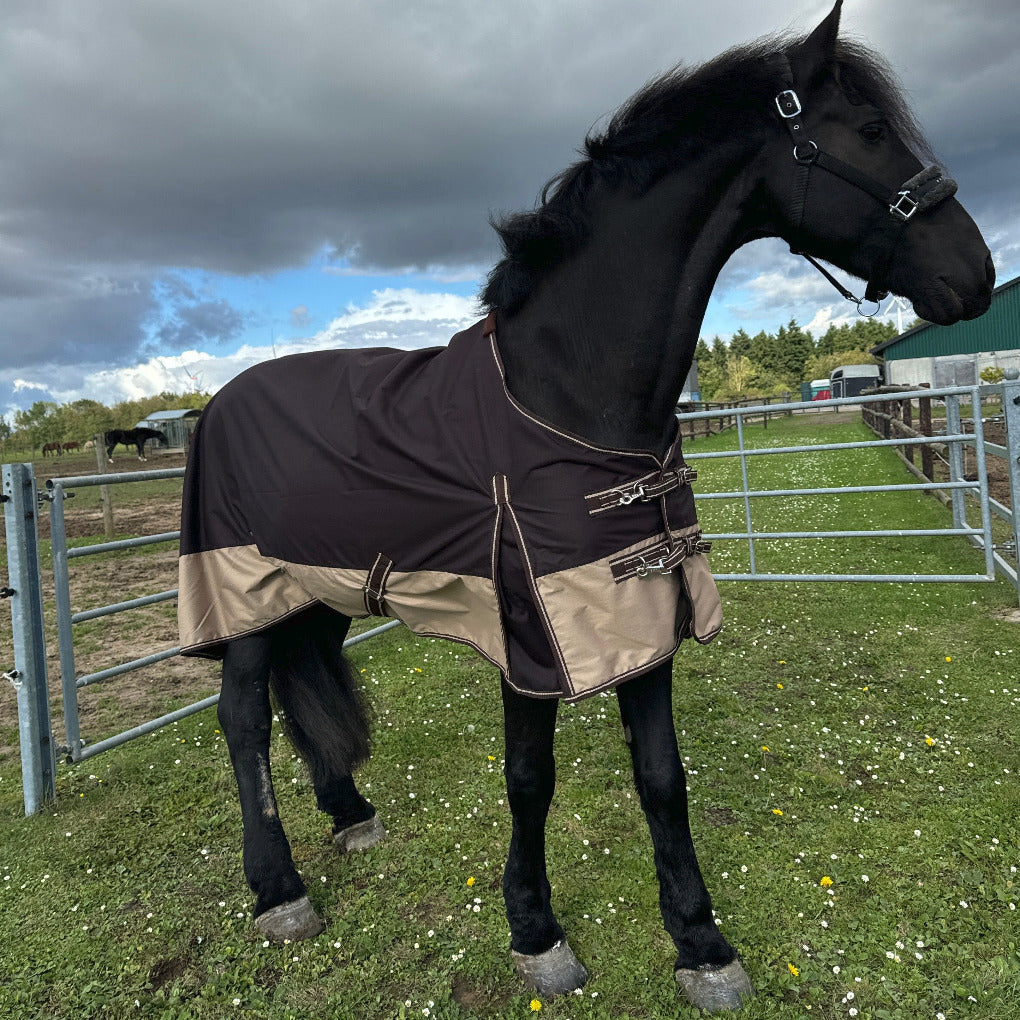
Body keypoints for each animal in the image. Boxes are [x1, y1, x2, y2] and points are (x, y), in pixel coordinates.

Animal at [177, 4, 992, 1011]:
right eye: (872, 131)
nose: (978, 272)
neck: (572, 392)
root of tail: (219, 401)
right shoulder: (535, 632)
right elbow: (530, 778)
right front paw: (537, 933)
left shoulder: (640, 603)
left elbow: (662, 775)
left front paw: (701, 944)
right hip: (244, 595)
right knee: (243, 718)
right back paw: (280, 890)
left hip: (322, 590)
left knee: (303, 691)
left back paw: (351, 813)